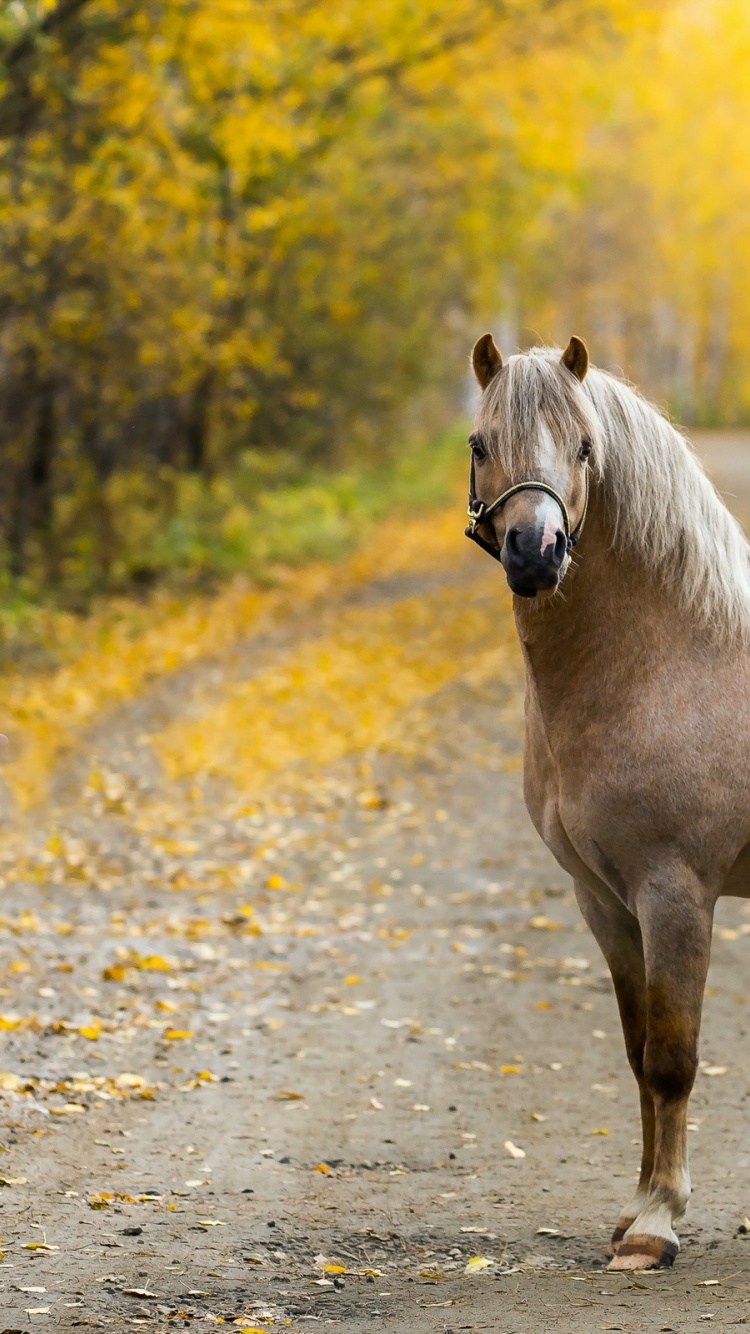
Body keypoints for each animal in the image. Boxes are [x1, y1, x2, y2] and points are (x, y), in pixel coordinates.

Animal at [464, 333, 750, 1269]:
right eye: (481, 442)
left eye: (585, 447)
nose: (536, 551)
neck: (671, 663)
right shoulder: (603, 900)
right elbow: (634, 1053)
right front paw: (634, 1211)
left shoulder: (675, 894)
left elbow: (672, 1056)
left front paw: (656, 1226)